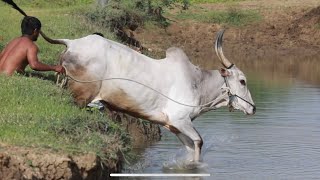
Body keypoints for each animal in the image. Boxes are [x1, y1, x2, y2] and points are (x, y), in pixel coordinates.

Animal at [42, 30, 255, 162]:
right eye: (243, 81)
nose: (253, 108)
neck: (198, 83)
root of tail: (72, 43)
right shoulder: (180, 119)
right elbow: (199, 143)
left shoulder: (174, 126)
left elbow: (190, 148)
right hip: (80, 97)